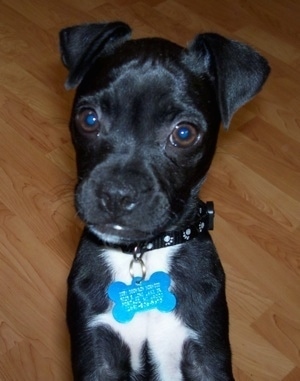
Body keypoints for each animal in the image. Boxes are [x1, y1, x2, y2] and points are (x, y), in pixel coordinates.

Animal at [59, 21, 270, 380]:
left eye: (184, 134)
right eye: (88, 119)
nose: (117, 194)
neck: (143, 255)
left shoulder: (206, 354)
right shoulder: (97, 355)